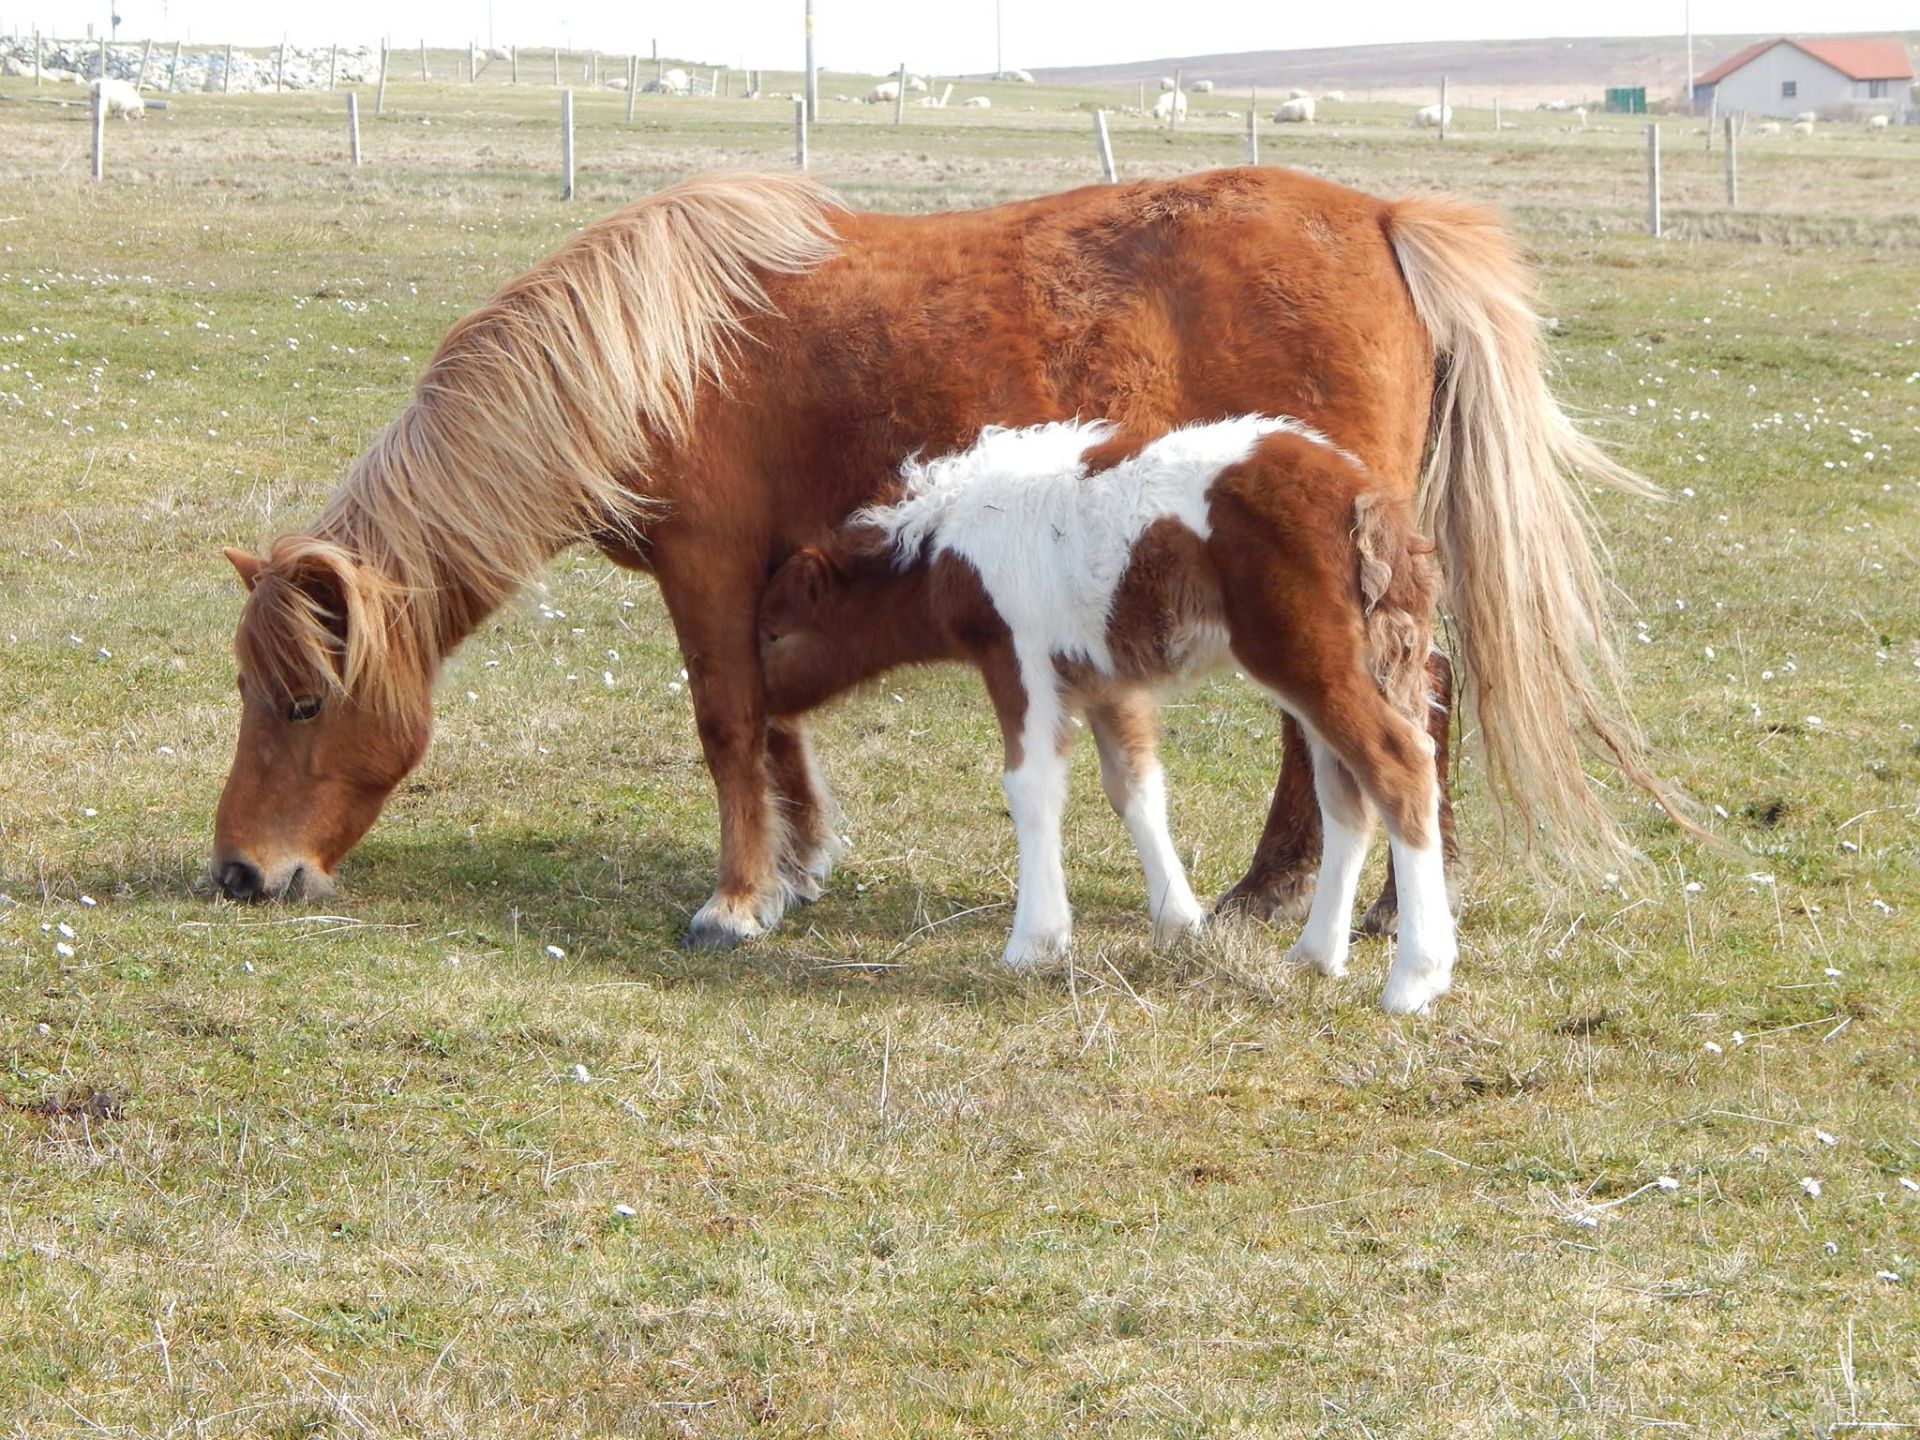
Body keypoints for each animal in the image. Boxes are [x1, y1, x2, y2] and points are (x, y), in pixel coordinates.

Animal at [214, 166, 1666, 948]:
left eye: (301, 702)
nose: (242, 874)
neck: (653, 355)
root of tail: (1379, 218)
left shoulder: (710, 569)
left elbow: (729, 723)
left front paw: (736, 901)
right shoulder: (772, 579)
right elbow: (776, 718)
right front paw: (796, 867)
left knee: (1381, 710)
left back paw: (1316, 901)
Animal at [752, 420, 1451, 1013]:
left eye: (775, 634)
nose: (761, 714)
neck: (948, 543)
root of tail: (1366, 501)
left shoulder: (1019, 656)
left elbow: (1031, 787)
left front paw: (1034, 942)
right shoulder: (1107, 680)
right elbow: (1134, 787)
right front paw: (1180, 923)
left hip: (1311, 663)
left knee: (1399, 766)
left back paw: (1416, 977)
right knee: (1346, 795)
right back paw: (1314, 955)